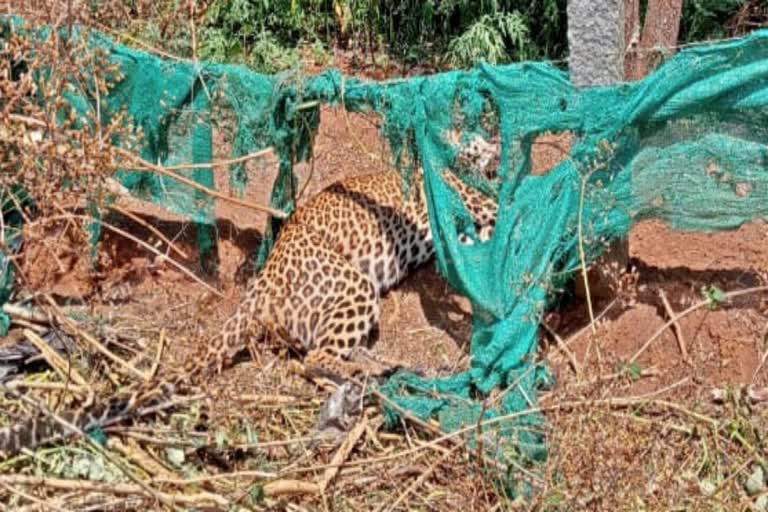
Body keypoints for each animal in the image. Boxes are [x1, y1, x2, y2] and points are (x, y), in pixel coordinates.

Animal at [0, 132, 498, 456]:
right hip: (353, 284)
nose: (493, 150)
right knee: (313, 360)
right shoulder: (479, 212)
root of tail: (261, 286)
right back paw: (371, 373)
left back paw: (383, 366)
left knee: (319, 357)